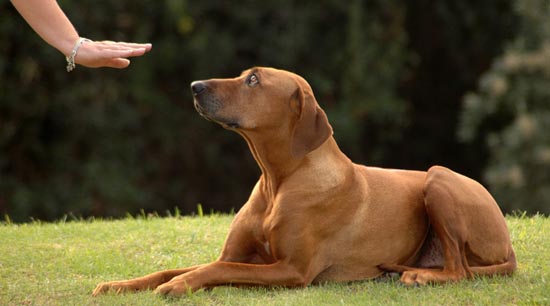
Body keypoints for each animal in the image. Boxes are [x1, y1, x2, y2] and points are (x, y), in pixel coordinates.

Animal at [91, 67, 516, 296]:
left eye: (253, 80)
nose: (195, 86)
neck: (277, 181)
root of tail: (509, 245)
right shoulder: (236, 254)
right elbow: (174, 268)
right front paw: (118, 285)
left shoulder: (292, 270)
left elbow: (215, 271)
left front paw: (180, 286)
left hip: (438, 178)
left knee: (460, 270)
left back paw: (419, 276)